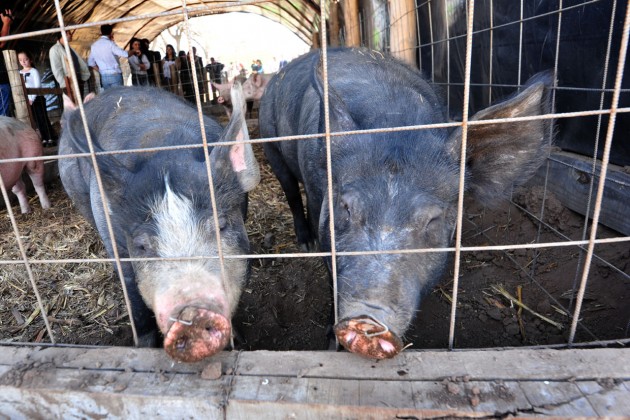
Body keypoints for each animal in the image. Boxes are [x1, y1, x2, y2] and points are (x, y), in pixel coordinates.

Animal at [57, 84, 260, 360]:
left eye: (221, 226)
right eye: (142, 245)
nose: (192, 314)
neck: (165, 147)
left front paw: (238, 341)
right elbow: (134, 295)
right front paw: (143, 347)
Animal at [262, 47, 552, 360]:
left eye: (432, 220)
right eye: (346, 208)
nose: (366, 319)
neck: (393, 120)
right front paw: (330, 344)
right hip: (270, 142)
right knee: (291, 192)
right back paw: (307, 243)